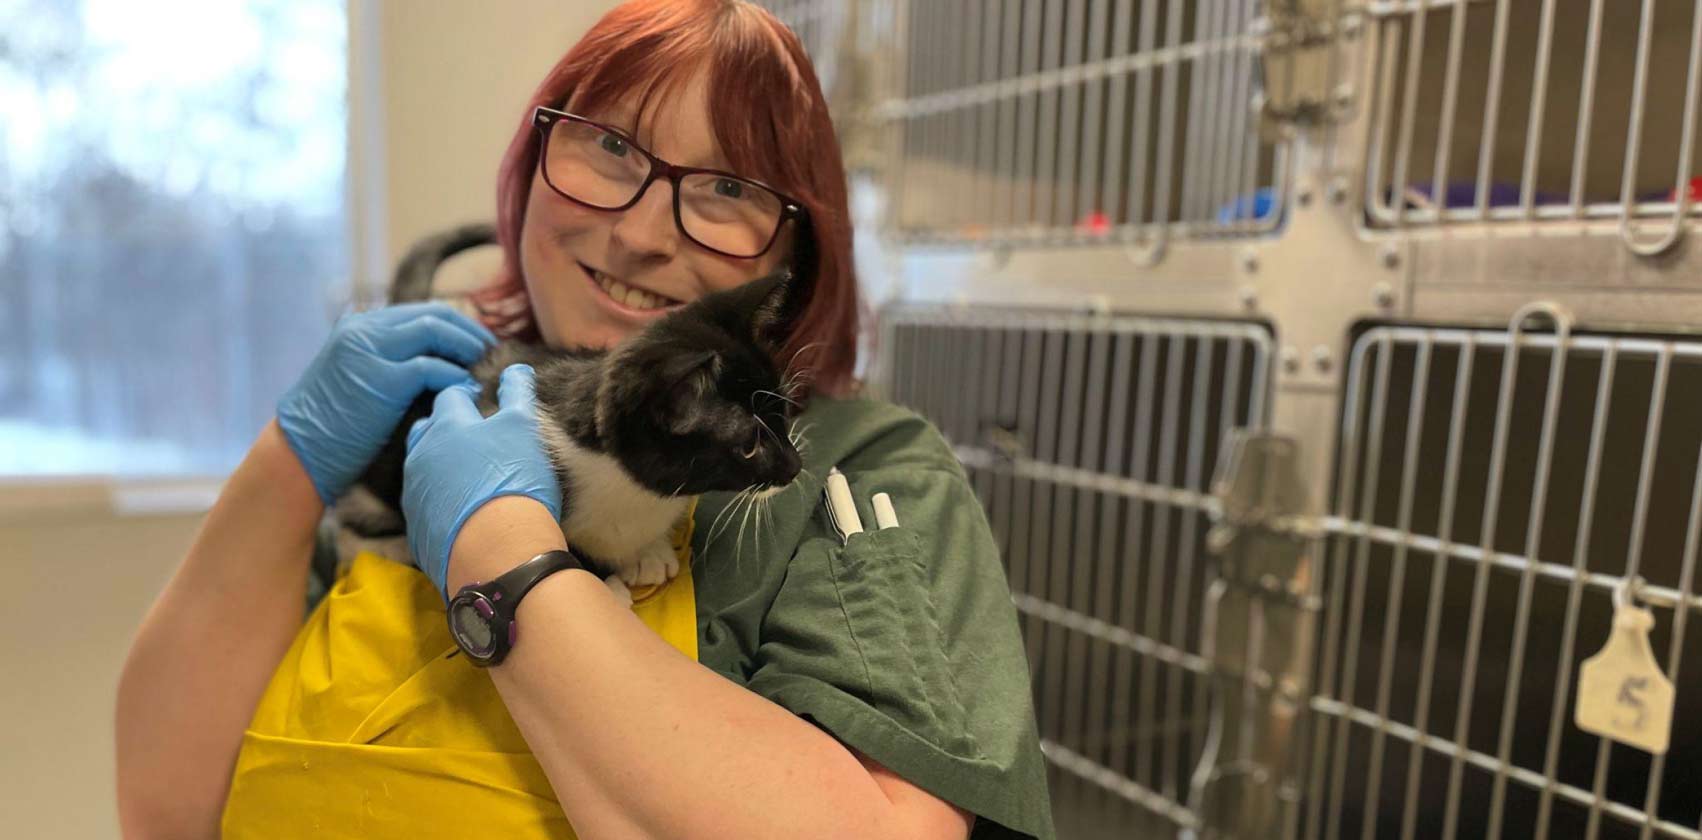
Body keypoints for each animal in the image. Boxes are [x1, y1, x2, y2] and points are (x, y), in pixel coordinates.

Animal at [336, 265, 810, 601]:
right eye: (748, 445)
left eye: (784, 411)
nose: (796, 465)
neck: (629, 488)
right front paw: (606, 584)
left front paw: (648, 551)